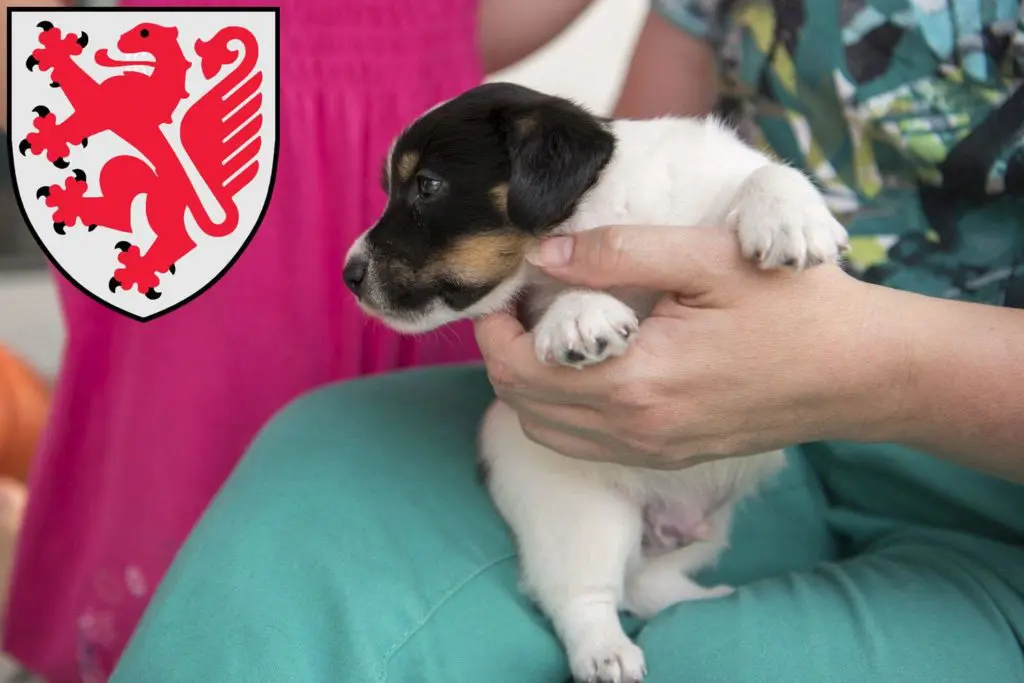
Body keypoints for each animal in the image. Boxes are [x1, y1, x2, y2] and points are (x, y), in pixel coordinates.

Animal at [342, 82, 847, 679]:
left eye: (427, 185)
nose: (348, 275)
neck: (602, 211)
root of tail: (665, 520)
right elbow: (566, 293)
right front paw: (581, 313)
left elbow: (765, 171)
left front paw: (788, 217)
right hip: (580, 513)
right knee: (587, 596)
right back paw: (606, 653)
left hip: (708, 530)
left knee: (647, 586)